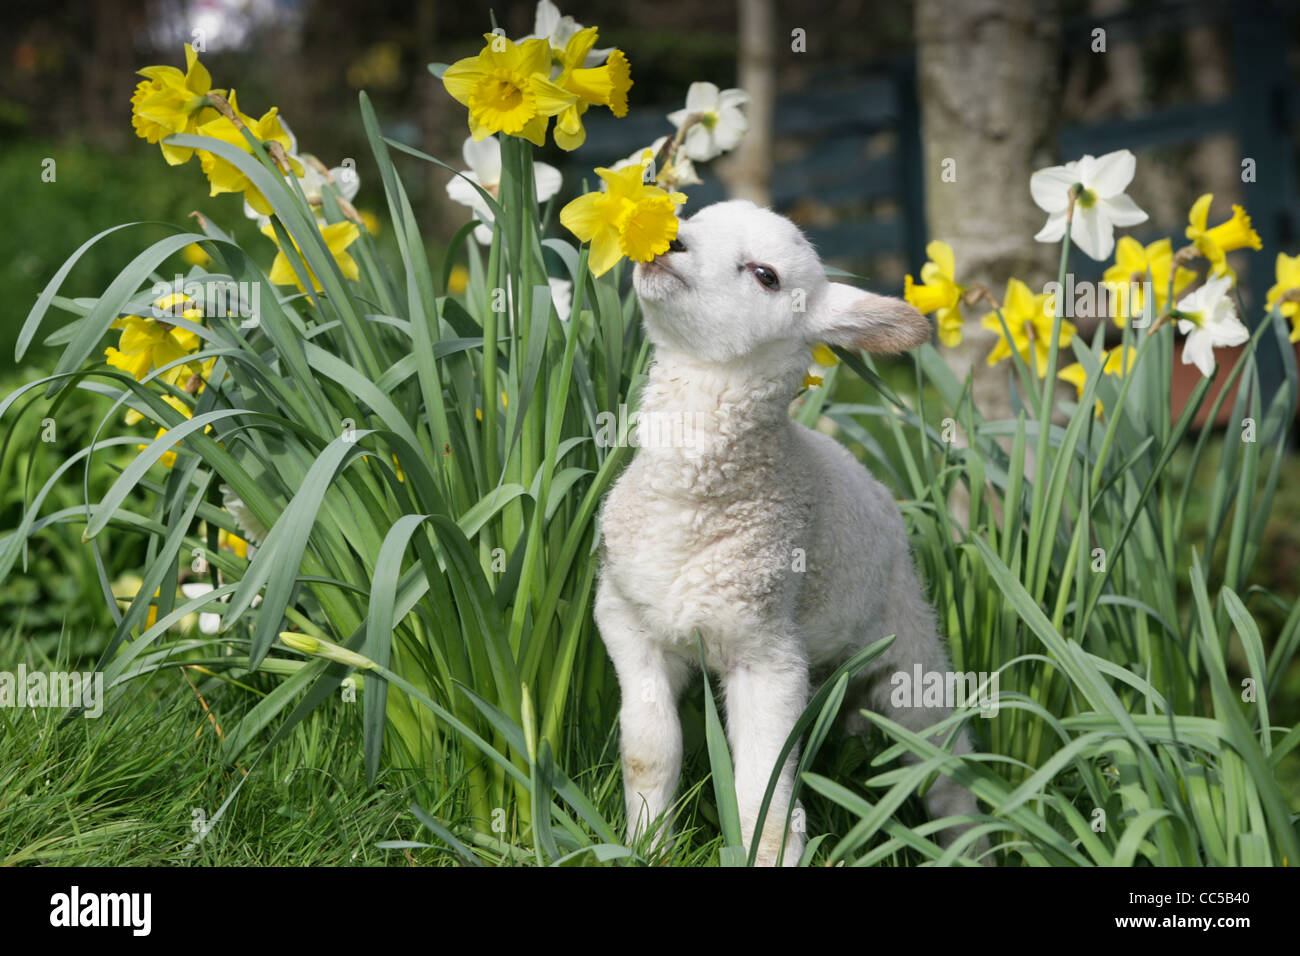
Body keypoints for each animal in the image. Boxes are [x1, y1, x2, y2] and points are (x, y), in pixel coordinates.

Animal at [595, 200, 977, 868]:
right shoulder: (627, 623)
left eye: (766, 275)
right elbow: (650, 754)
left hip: (908, 645)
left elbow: (763, 797)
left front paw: (768, 855)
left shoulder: (768, 654)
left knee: (943, 767)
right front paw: (645, 844)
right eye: (693, 217)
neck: (686, 508)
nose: (667, 242)